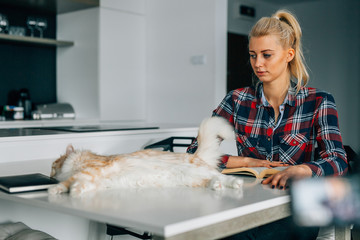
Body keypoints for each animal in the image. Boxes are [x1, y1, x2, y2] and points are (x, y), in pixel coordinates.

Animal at [47, 116, 243, 197]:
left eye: (52, 166)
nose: (49, 175)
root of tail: (196, 155)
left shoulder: (92, 170)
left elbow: (71, 181)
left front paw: (56, 189)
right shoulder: (95, 180)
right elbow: (79, 184)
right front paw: (72, 190)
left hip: (199, 171)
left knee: (225, 177)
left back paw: (236, 183)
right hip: (194, 180)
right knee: (214, 180)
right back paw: (217, 186)